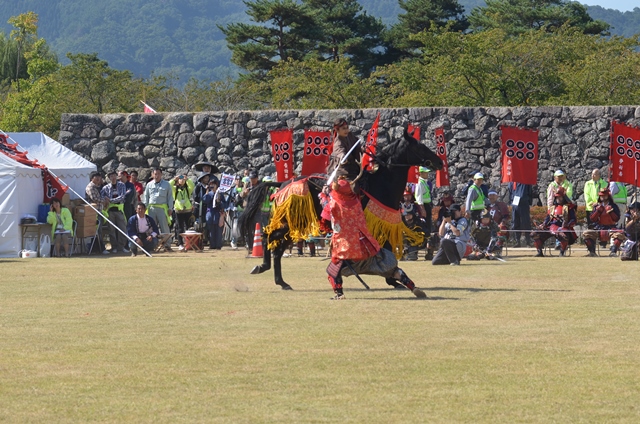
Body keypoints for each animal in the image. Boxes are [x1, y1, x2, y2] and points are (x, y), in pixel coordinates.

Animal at [238, 129, 442, 292]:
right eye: (420, 146)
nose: (439, 162)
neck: (381, 184)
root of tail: (282, 183)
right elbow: (382, 252)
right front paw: (392, 279)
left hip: (294, 226)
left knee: (277, 248)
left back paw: (281, 281)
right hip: (289, 223)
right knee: (267, 237)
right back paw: (263, 267)